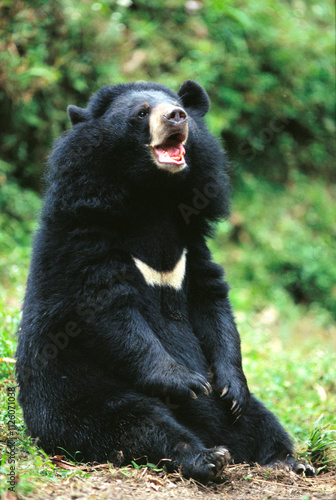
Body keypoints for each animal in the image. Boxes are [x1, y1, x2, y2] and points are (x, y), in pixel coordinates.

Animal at [15, 80, 316, 478]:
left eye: (176, 105)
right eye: (142, 112)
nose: (177, 116)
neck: (152, 198)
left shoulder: (192, 247)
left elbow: (212, 302)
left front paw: (227, 386)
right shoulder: (85, 237)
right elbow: (109, 312)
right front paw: (190, 381)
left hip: (244, 415)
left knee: (257, 420)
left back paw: (288, 460)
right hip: (74, 393)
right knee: (135, 424)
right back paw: (208, 457)